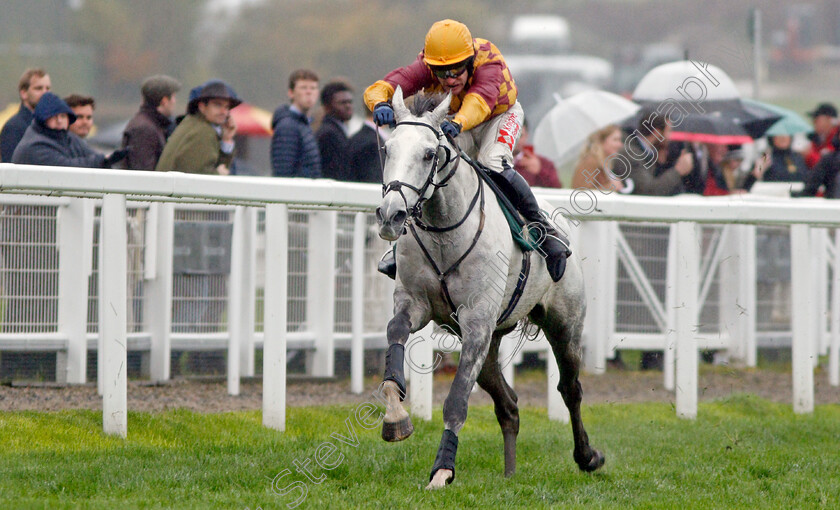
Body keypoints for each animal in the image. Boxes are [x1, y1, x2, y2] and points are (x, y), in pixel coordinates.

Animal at [374, 87, 604, 490]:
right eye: (387, 149)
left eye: (429, 153)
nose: (391, 215)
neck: (444, 230)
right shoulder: (417, 305)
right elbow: (395, 334)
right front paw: (395, 417)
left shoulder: (477, 322)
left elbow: (456, 401)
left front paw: (442, 470)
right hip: (490, 344)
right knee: (508, 405)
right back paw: (510, 472)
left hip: (564, 325)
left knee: (570, 389)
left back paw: (586, 456)